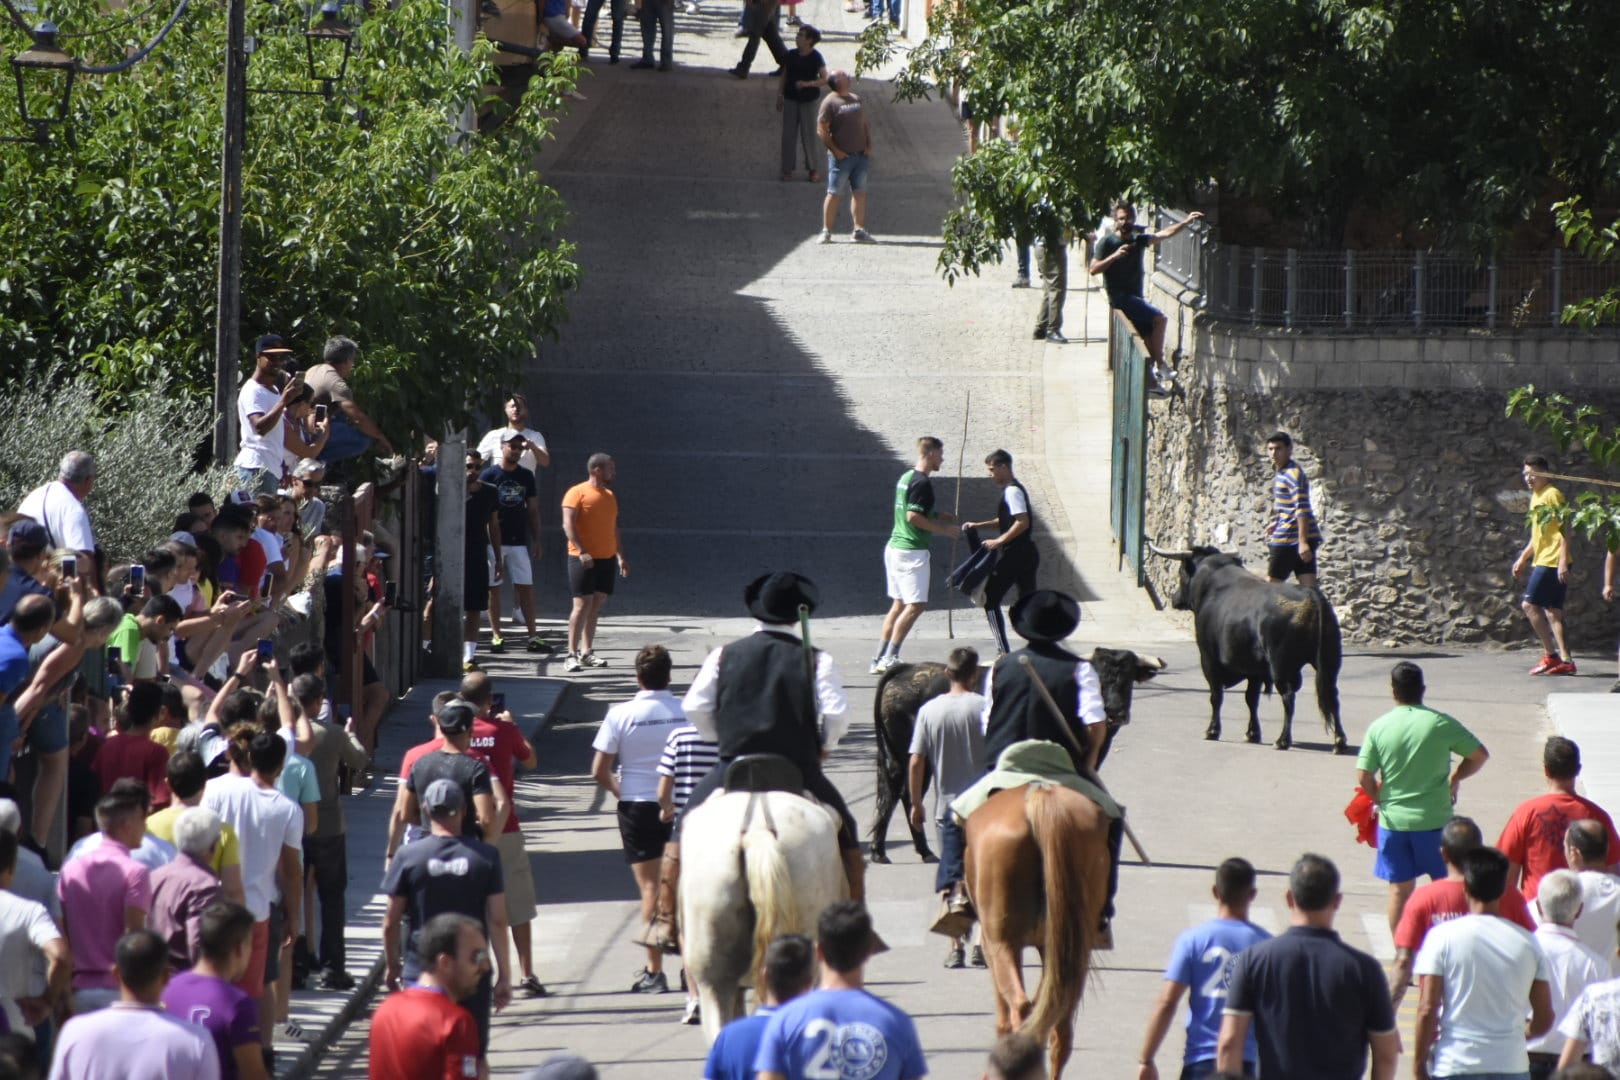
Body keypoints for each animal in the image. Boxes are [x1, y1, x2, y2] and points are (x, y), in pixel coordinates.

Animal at [874, 647, 1166, 867]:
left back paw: (890, 850)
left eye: (1128, 679)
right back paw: (910, 850)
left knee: (894, 793)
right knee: (906, 793)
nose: (1116, 712)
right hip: (910, 755)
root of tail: (907, 669)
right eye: (1097, 680)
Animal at [959, 786, 1114, 1080]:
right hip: (1073, 950)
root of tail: (1040, 793)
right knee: (1059, 1028)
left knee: (1019, 1010)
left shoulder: (994, 945)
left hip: (1002, 943)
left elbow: (1003, 1015)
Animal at [1153, 544, 1354, 757]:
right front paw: (1252, 733)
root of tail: (1312, 597)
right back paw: (1339, 742)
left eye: (1181, 572)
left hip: (1281, 666)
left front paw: (1212, 731)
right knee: (1331, 695)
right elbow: (1251, 699)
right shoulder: (1255, 670)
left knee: (1288, 697)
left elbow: (1216, 696)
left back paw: (1282, 740)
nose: (1174, 599)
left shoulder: (1208, 659)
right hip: (1329, 662)